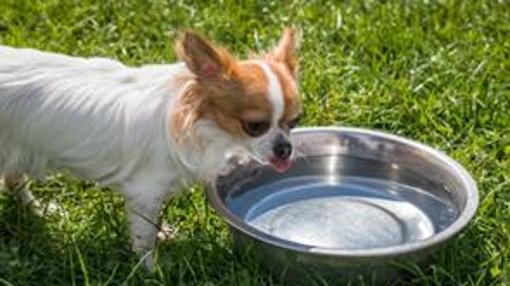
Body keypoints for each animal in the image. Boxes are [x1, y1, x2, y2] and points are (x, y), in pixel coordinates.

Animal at [0, 27, 300, 268]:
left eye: (294, 121)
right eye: (255, 126)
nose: (285, 148)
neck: (205, 126)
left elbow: (153, 222)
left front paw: (162, 236)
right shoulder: (145, 192)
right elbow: (143, 234)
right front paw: (150, 268)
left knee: (14, 180)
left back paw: (40, 211)